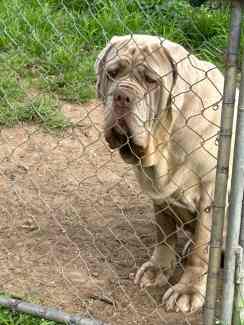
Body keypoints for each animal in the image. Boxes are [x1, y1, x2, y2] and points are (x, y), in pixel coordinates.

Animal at [95, 34, 225, 312]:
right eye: (112, 73)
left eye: (151, 80)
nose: (122, 96)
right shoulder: (158, 189)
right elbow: (164, 234)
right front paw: (158, 269)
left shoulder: (211, 193)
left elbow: (201, 250)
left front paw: (188, 290)